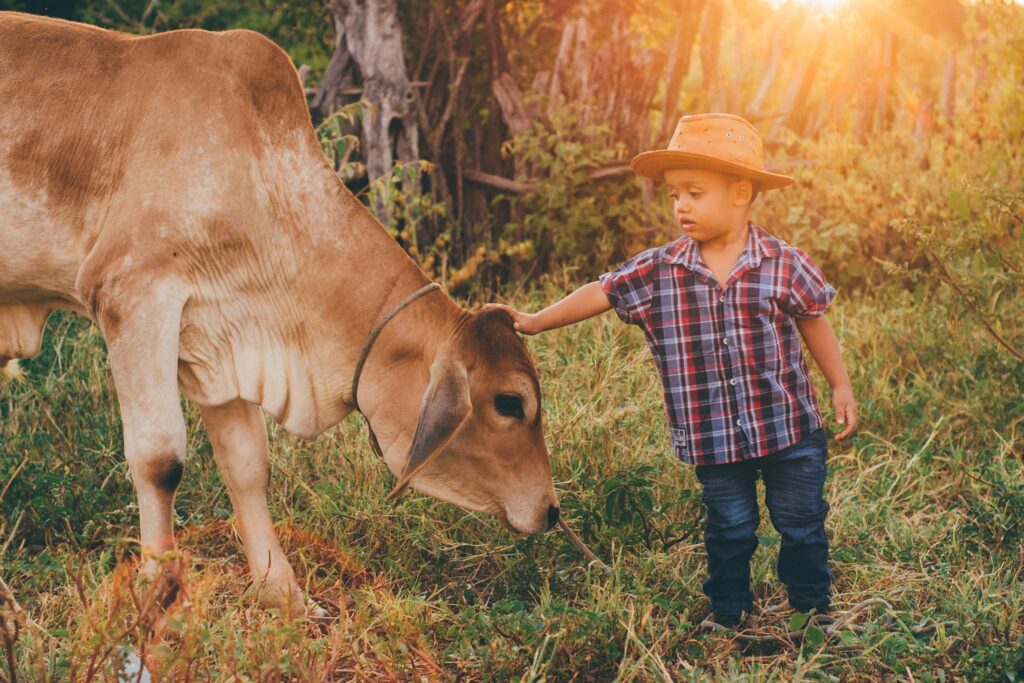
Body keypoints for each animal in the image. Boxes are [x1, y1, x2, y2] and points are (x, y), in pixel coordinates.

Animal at [0, 11, 559, 622]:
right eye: (511, 403)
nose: (552, 511)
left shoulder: (216, 339)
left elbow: (248, 466)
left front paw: (283, 592)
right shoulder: (132, 292)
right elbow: (159, 459)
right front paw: (161, 599)